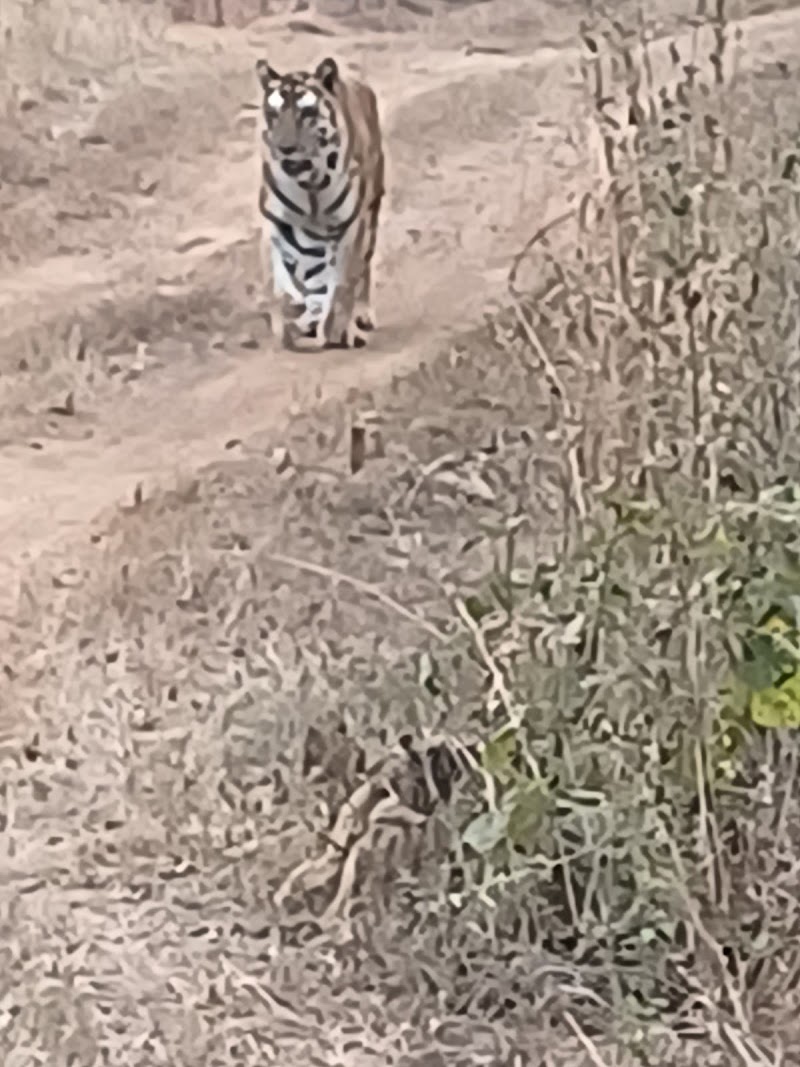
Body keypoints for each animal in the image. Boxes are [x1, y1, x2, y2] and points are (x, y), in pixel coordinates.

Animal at [255, 55, 386, 352]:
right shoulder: (276, 222)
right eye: (274, 114)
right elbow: (279, 281)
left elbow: (343, 283)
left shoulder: (352, 225)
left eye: (306, 113)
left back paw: (358, 315)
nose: (285, 148)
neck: (310, 186)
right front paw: (290, 317)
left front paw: (336, 328)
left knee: (363, 271)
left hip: (371, 212)